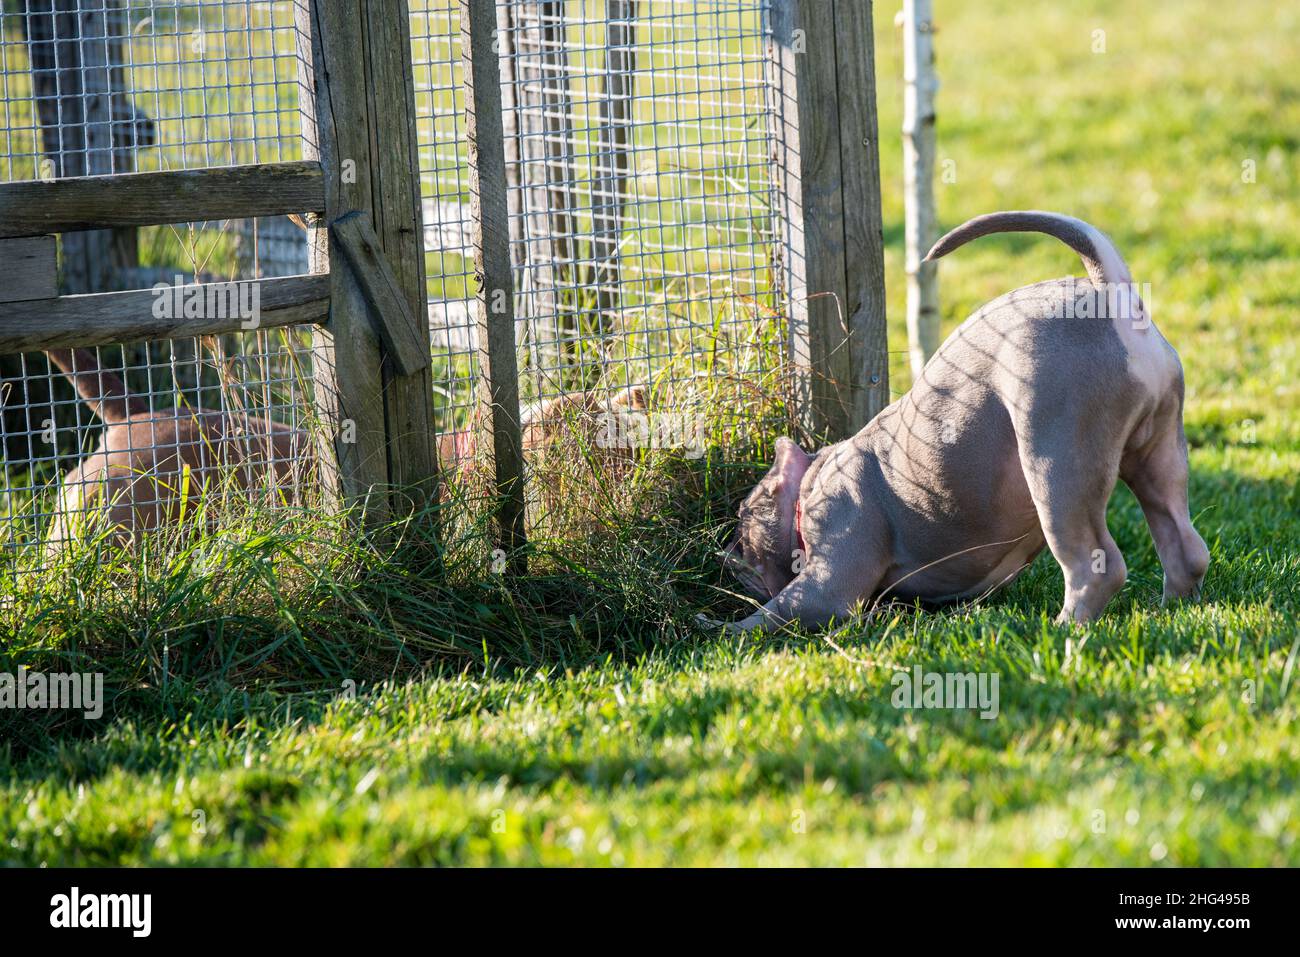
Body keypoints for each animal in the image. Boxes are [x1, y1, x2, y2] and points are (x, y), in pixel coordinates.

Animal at [717, 210, 1201, 631]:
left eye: (743, 515)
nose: (725, 551)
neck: (812, 480)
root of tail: (1109, 293)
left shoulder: (828, 575)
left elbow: (776, 613)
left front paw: (722, 629)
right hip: (1160, 452)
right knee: (1185, 544)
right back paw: (1174, 609)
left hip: (1058, 461)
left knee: (1097, 564)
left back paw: (1066, 627)